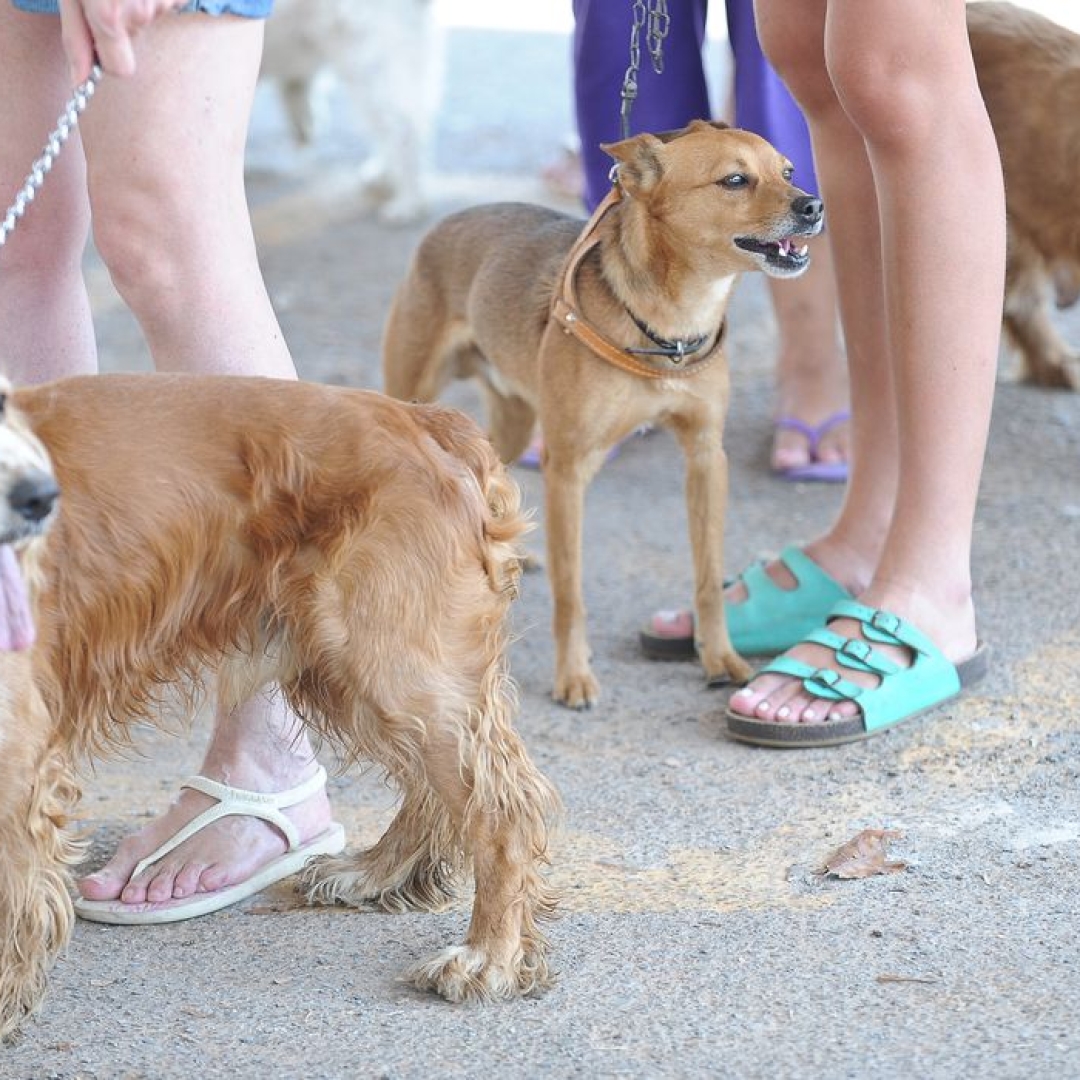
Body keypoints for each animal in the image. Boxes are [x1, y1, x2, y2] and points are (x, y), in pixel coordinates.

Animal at [0, 371, 557, 1036]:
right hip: (347, 663)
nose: (40, 499)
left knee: (501, 805)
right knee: (438, 789)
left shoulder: (18, 740)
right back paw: (374, 874)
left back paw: (488, 956)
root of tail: (425, 421)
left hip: (385, 656)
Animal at [384, 120, 820, 708]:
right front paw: (573, 675)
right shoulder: (568, 470)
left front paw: (719, 656)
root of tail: (448, 222)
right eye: (734, 180)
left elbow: (708, 577)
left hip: (516, 423)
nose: (813, 205)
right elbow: (571, 592)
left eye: (788, 170)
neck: (670, 326)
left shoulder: (705, 457)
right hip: (414, 396)